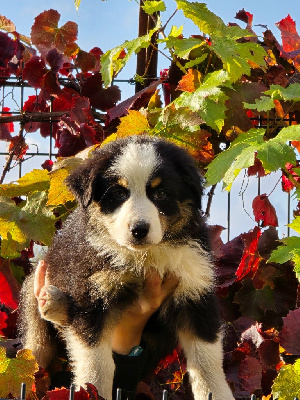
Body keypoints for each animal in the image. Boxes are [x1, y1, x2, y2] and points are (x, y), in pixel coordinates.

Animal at [19, 135, 233, 400]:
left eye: (160, 193)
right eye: (119, 193)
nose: (139, 230)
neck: (144, 256)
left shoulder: (195, 289)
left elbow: (207, 361)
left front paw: (218, 393)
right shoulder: (92, 292)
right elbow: (96, 363)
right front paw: (92, 391)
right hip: (36, 286)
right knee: (36, 349)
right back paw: (53, 302)